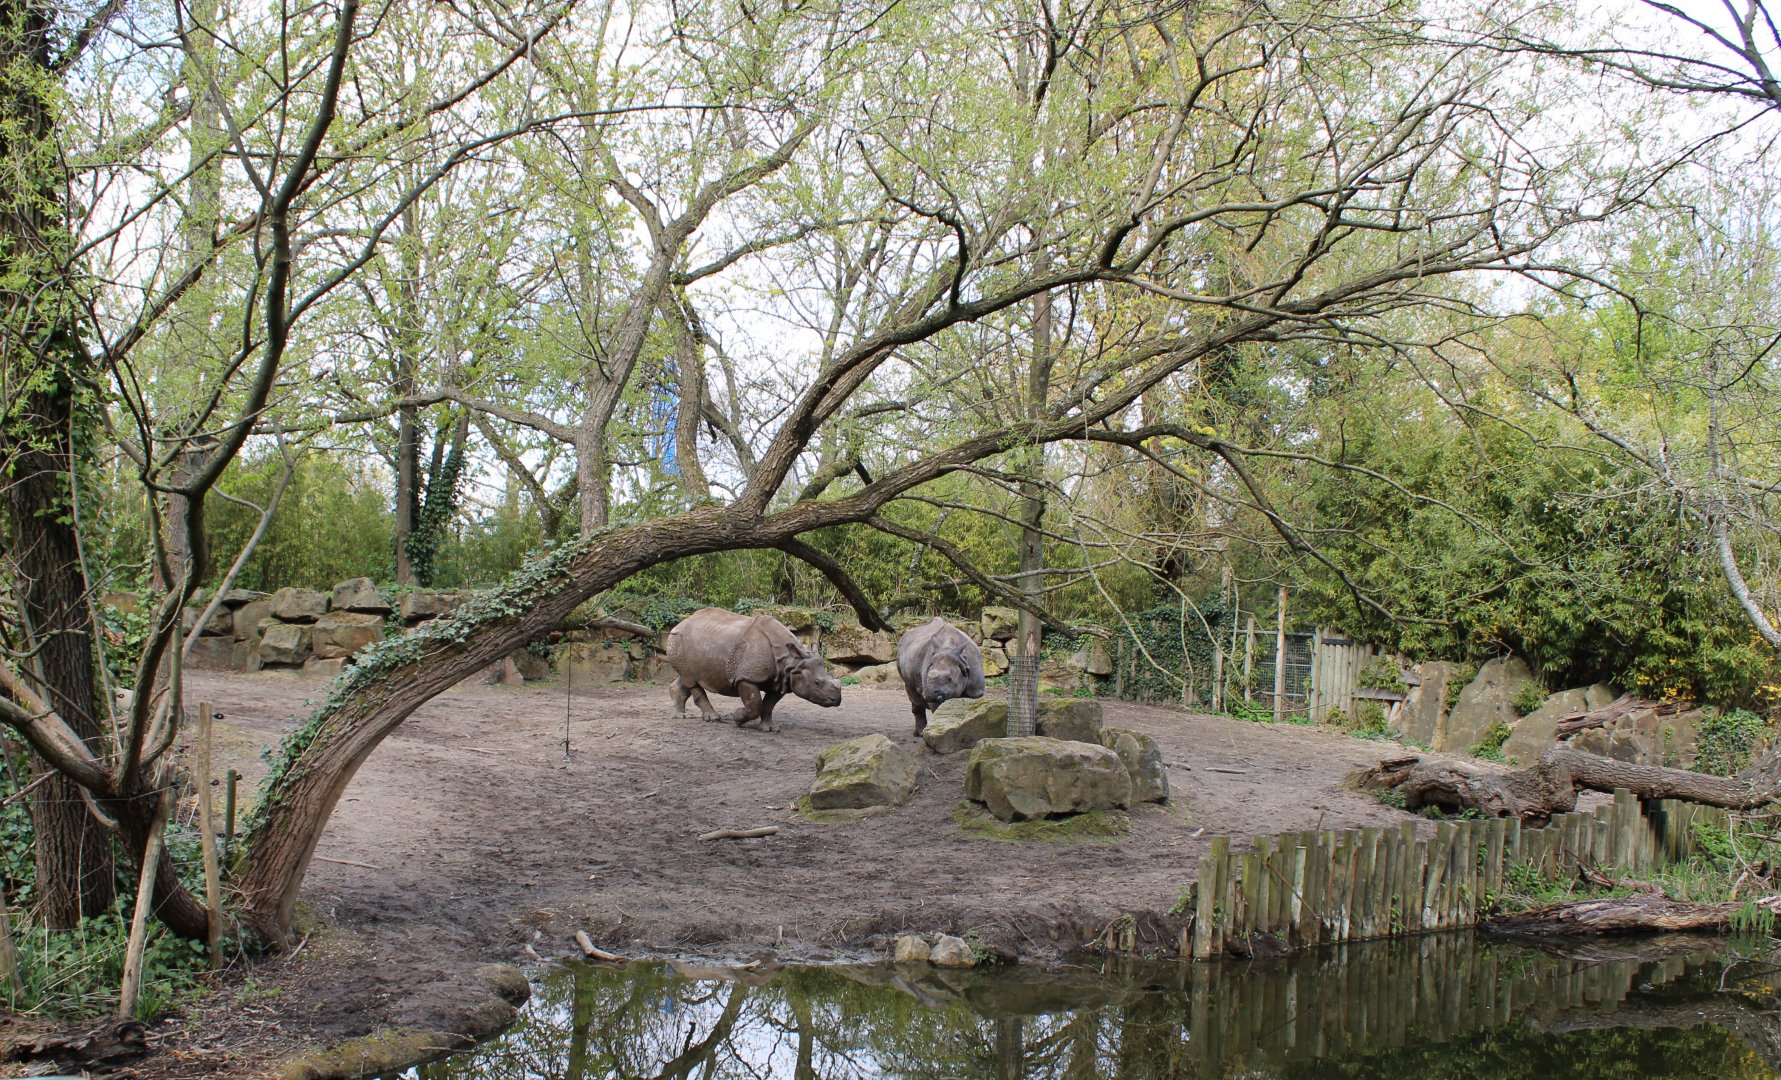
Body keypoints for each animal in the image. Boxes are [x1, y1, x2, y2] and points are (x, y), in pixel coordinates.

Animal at [665, 608, 842, 731]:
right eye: (817, 682)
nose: (836, 700)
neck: (791, 661)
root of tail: (679, 623)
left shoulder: (781, 678)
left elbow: (769, 705)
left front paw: (769, 728)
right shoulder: (746, 677)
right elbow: (755, 704)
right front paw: (737, 718)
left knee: (686, 676)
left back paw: (680, 716)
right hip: (678, 639)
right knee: (691, 679)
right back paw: (713, 718)